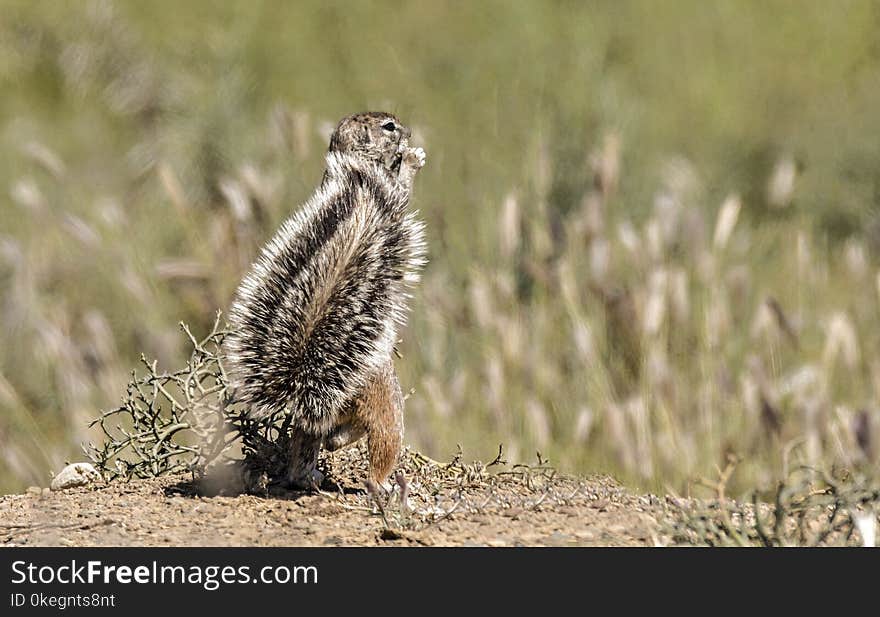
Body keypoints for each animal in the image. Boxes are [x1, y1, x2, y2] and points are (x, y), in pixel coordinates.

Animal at [227, 109, 426, 486]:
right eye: (389, 126)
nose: (408, 132)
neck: (355, 168)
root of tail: (308, 381)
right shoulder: (390, 194)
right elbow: (404, 191)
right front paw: (411, 160)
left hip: (324, 422)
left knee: (315, 439)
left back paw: (308, 474)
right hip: (388, 410)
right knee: (379, 444)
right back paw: (382, 485)